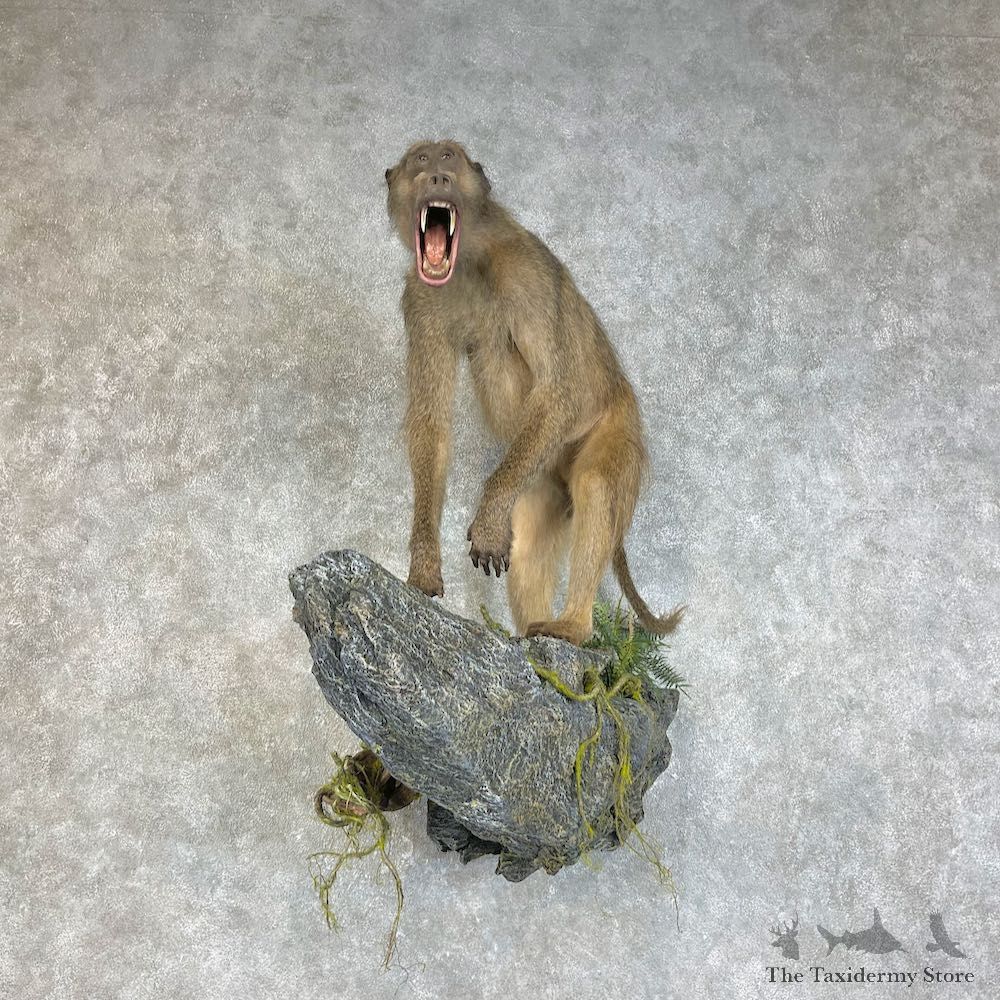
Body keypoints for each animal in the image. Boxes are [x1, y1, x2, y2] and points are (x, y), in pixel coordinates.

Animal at [385, 138, 684, 648]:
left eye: (449, 159)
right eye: (420, 162)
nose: (437, 178)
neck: (468, 263)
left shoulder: (529, 273)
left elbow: (558, 392)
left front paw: (487, 525)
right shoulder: (420, 300)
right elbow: (432, 425)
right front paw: (423, 563)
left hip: (615, 425)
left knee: (595, 482)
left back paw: (572, 627)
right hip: (542, 477)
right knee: (529, 535)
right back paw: (527, 638)